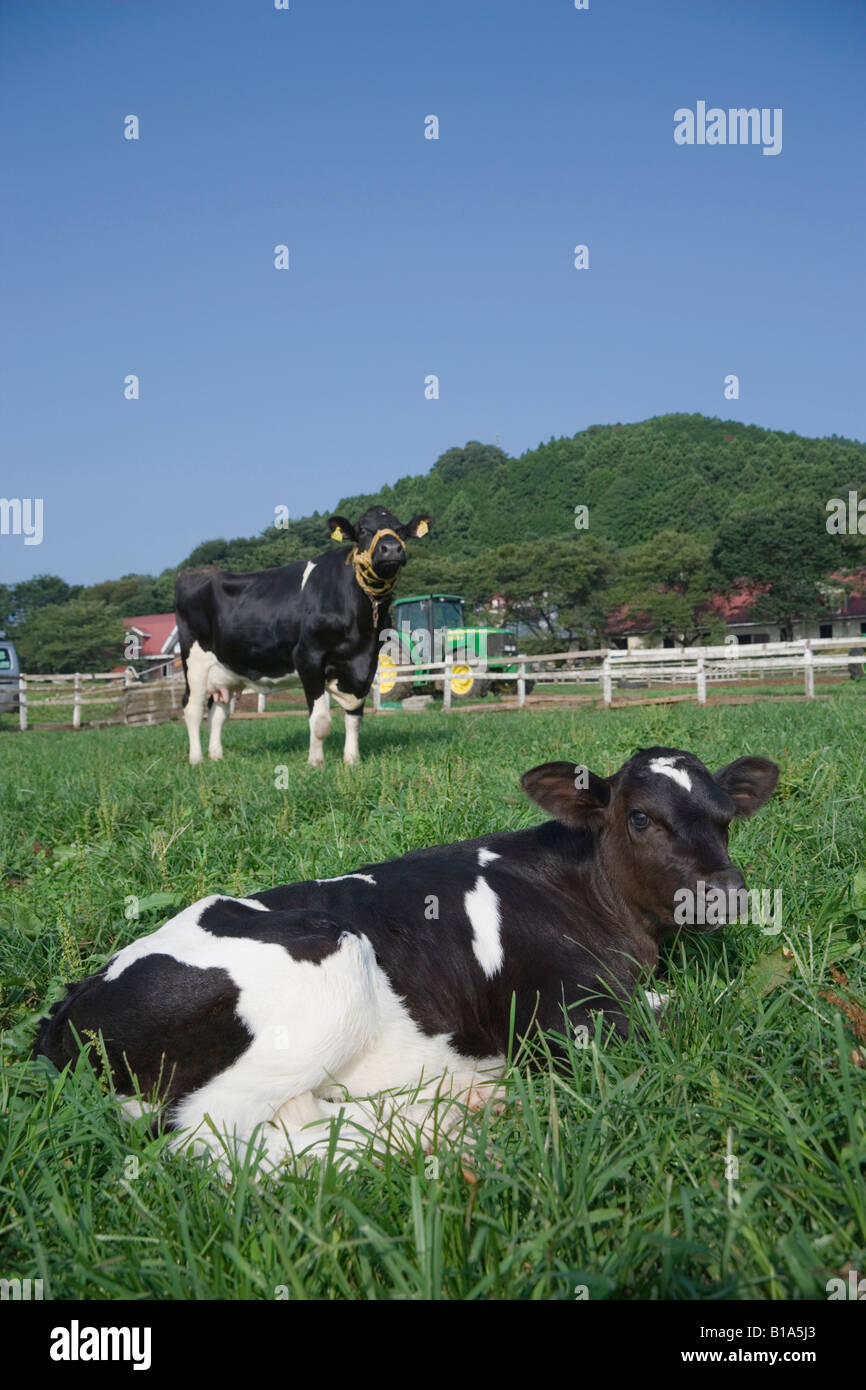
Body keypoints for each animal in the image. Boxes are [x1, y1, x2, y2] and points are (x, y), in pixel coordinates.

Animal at [35, 746, 778, 1173]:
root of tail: (70, 1002)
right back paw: (446, 1130)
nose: (728, 894)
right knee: (210, 1142)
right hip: (327, 965)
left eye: (726, 818)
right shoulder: (564, 1019)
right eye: (641, 817)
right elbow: (683, 1017)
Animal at [174, 505, 433, 766]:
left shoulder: (366, 663)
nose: (391, 548)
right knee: (192, 708)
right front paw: (316, 762)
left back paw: (216, 756)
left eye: (401, 530)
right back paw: (197, 759)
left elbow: (355, 717)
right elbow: (320, 721)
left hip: (226, 670)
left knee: (217, 712)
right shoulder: (308, 656)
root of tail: (194, 572)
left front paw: (352, 760)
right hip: (194, 663)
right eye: (363, 531)